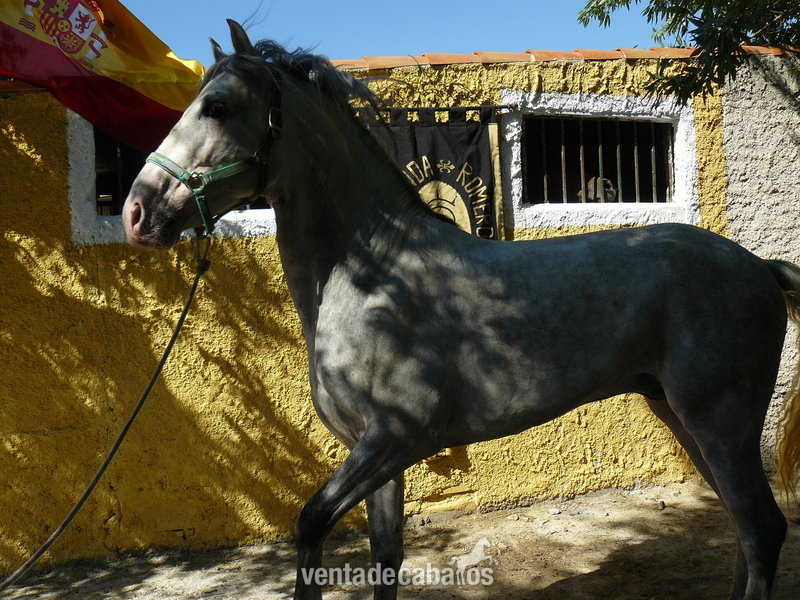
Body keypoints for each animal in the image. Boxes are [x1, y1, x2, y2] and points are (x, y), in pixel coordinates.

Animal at [122, 20, 800, 600]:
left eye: (217, 106)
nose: (136, 211)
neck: (374, 273)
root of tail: (758, 267)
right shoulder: (376, 456)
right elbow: (385, 558)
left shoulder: (394, 438)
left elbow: (311, 526)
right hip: (686, 420)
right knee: (743, 529)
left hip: (720, 422)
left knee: (762, 531)